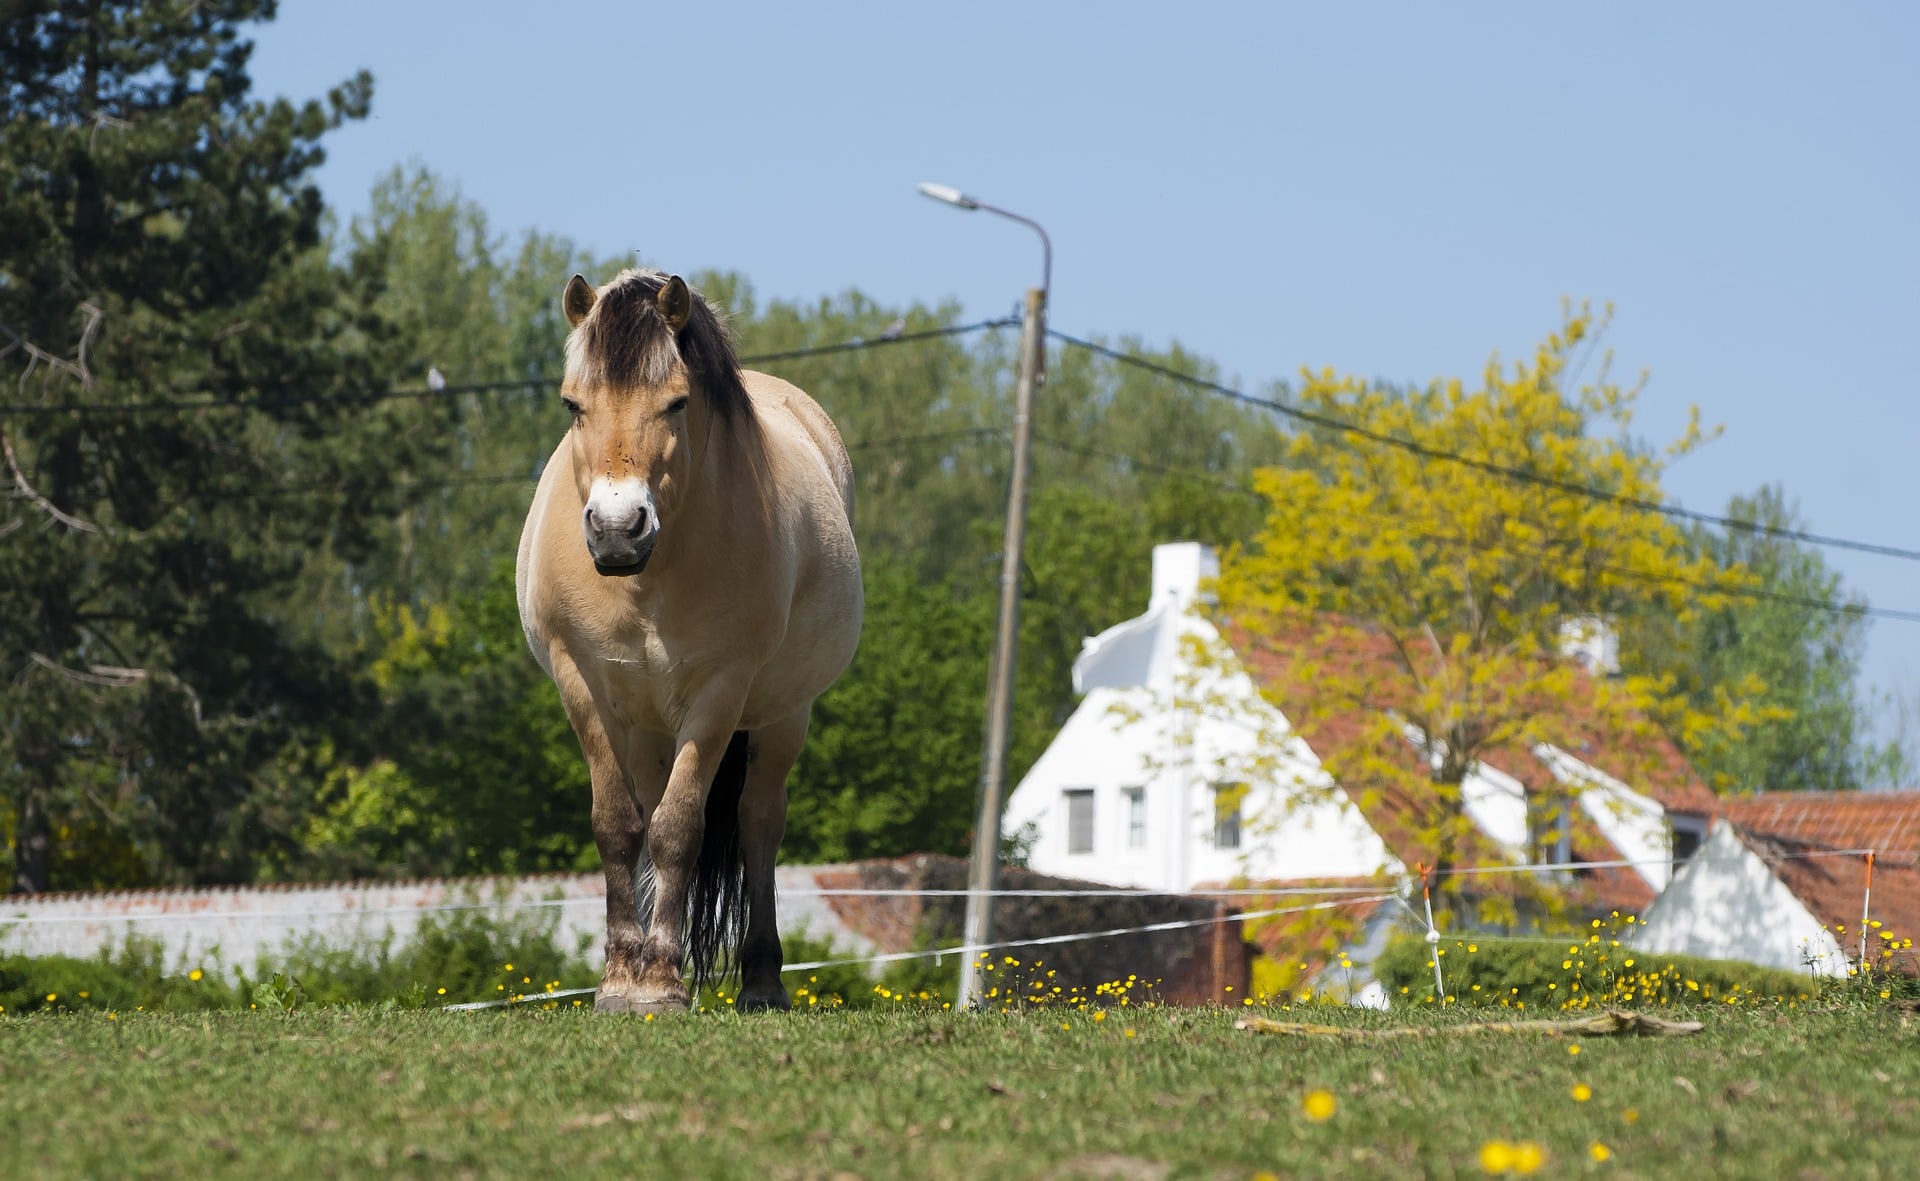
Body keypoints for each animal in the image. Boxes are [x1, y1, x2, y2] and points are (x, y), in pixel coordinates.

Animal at [516, 268, 862, 1013]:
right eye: (572, 404)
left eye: (676, 403)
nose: (618, 529)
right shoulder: (580, 683)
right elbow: (620, 824)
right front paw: (622, 976)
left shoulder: (720, 691)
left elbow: (680, 828)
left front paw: (661, 981)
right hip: (646, 724)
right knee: (650, 808)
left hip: (783, 716)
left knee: (759, 823)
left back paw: (762, 978)